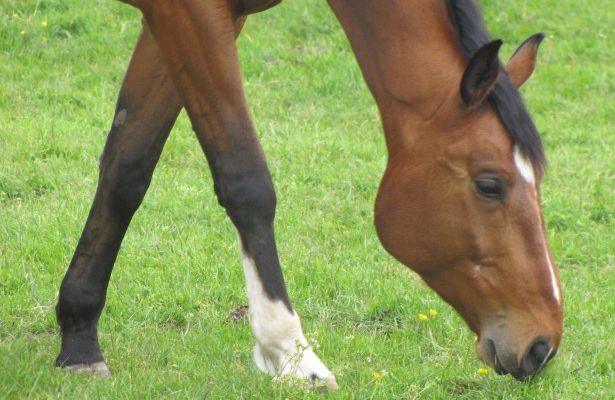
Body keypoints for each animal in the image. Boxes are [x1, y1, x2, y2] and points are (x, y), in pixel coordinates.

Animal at [55, 0, 564, 388]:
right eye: (490, 185)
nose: (542, 344)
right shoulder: (191, 14)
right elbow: (246, 180)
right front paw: (292, 354)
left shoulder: (183, 22)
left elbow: (127, 168)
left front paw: (79, 340)